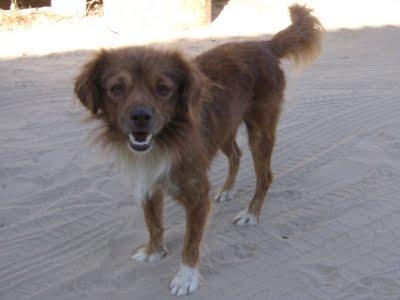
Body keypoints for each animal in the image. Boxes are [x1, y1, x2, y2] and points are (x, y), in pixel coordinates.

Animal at [75, 4, 322, 296]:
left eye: (163, 89)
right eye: (116, 88)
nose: (141, 117)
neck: (165, 140)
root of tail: (264, 45)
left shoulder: (197, 197)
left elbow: (190, 242)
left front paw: (186, 276)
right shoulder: (148, 183)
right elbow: (153, 222)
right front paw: (154, 251)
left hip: (259, 132)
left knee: (265, 176)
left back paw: (251, 214)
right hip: (223, 130)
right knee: (236, 155)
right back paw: (227, 190)